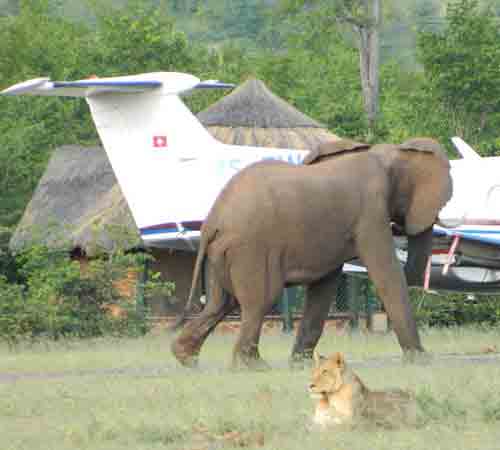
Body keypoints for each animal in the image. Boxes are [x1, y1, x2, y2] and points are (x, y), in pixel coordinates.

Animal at [171, 138, 454, 370]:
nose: (399, 228)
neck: (389, 153)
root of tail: (212, 220)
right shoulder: (371, 213)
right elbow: (387, 274)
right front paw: (421, 360)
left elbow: (323, 287)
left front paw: (300, 364)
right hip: (250, 248)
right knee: (258, 302)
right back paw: (252, 366)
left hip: (220, 251)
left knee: (220, 303)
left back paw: (186, 358)